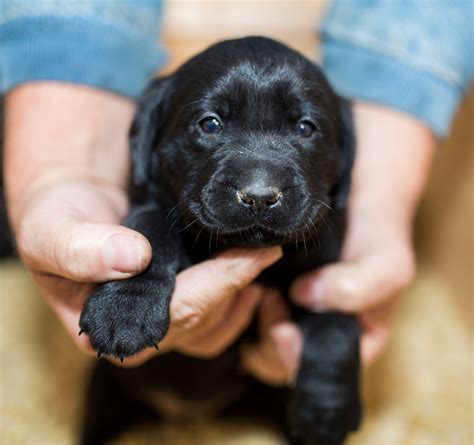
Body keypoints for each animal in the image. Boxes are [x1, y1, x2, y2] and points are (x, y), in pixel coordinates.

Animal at [79, 37, 362, 444]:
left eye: (306, 128)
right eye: (210, 124)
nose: (259, 196)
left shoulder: (323, 269)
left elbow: (336, 324)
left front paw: (328, 411)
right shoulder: (151, 204)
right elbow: (147, 230)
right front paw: (123, 310)